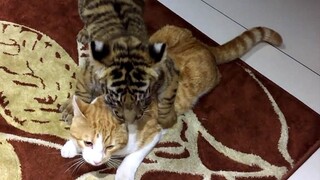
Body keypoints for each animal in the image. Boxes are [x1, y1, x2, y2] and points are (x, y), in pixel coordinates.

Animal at [60, 25, 282, 179]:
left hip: (209, 79)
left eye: (110, 146)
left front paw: (122, 173)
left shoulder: (153, 134)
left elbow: (133, 157)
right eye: (88, 142)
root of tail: (203, 45)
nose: (97, 161)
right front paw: (71, 146)